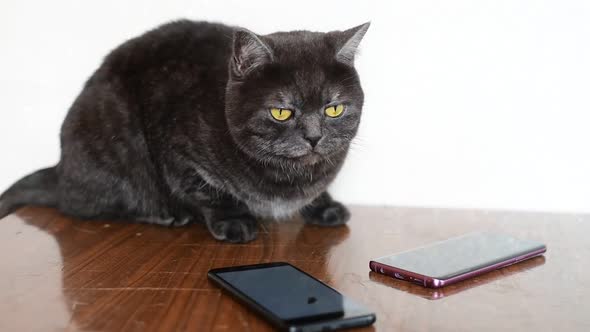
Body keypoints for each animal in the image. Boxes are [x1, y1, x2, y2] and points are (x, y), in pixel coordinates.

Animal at [0, 20, 370, 244]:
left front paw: (325, 206)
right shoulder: (180, 152)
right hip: (117, 143)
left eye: (334, 109)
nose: (314, 136)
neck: (290, 178)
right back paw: (167, 215)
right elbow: (206, 190)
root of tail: (59, 168)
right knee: (86, 204)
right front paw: (234, 221)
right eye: (281, 112)